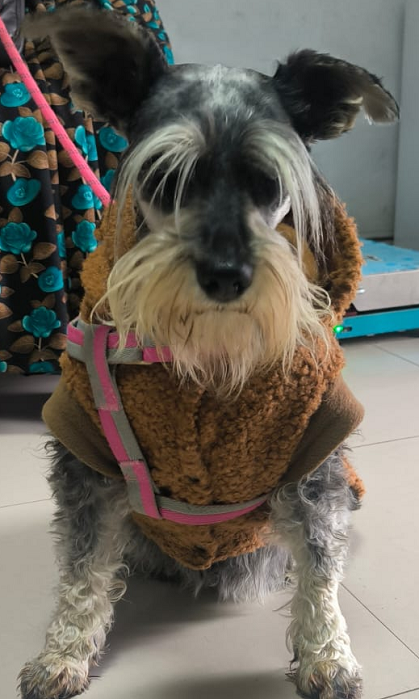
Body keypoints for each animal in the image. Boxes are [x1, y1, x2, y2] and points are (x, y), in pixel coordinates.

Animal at [19, 7, 398, 699]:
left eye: (269, 183)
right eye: (165, 179)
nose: (226, 275)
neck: (210, 357)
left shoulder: (316, 456)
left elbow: (319, 569)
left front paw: (328, 657)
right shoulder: (86, 455)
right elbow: (82, 570)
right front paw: (61, 655)